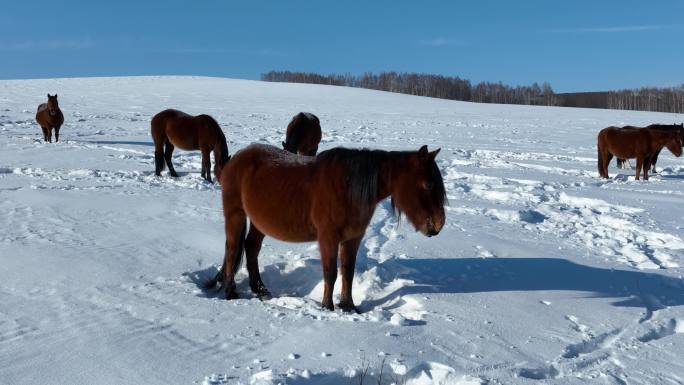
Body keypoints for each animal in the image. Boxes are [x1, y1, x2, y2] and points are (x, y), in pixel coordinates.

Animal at [206, 142, 446, 310]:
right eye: (428, 184)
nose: (438, 225)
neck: (349, 188)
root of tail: (235, 159)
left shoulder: (353, 239)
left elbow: (347, 272)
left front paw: (348, 306)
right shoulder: (328, 237)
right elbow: (330, 273)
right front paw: (327, 306)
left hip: (259, 223)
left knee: (251, 247)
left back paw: (260, 289)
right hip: (236, 215)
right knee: (232, 249)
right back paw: (231, 292)